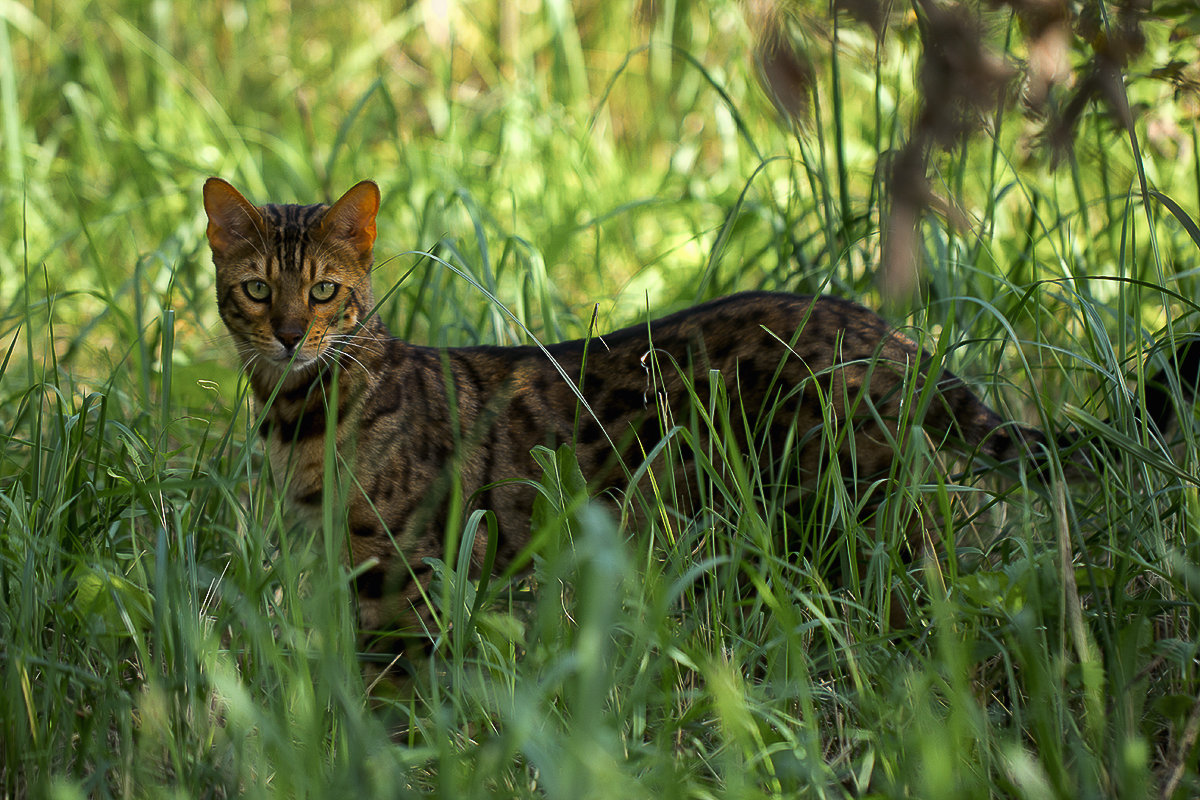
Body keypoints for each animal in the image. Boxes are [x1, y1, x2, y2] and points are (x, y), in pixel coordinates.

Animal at [201, 179, 1195, 657]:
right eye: (254, 290)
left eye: (325, 293)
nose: (288, 335)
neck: (299, 419)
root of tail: (883, 329)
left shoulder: (405, 577)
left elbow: (395, 697)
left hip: (856, 515)